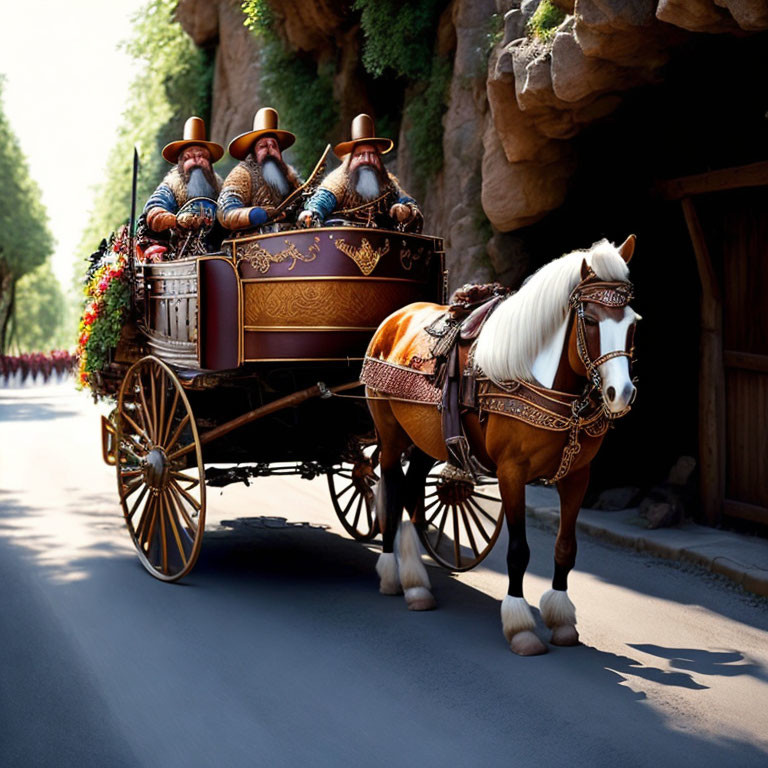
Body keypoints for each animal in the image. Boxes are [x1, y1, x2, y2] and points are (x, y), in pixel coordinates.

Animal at [364, 234, 640, 656]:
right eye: (590, 320)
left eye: (632, 323)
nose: (620, 393)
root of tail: (395, 318)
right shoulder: (511, 474)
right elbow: (519, 550)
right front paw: (520, 626)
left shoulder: (577, 476)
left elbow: (566, 546)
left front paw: (561, 619)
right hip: (392, 435)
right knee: (392, 491)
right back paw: (394, 575)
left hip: (428, 441)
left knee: (412, 492)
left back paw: (415, 583)